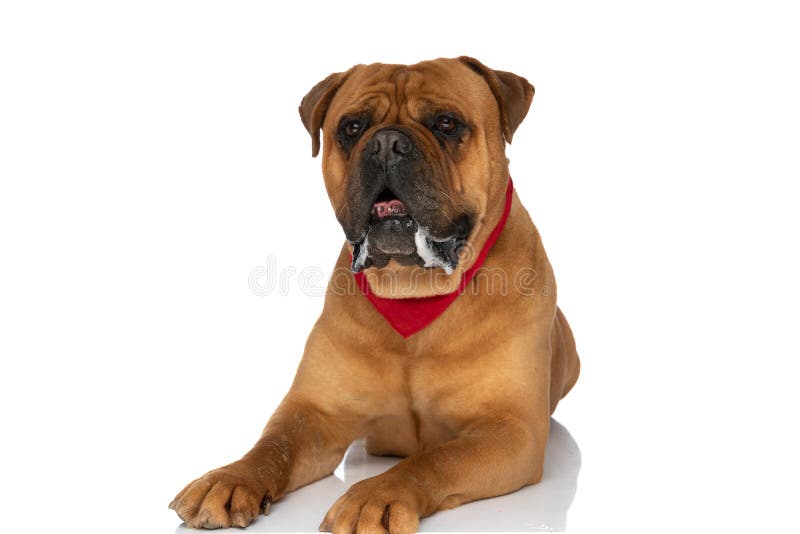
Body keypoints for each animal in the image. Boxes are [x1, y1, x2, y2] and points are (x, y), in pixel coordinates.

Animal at [170, 56, 580, 532]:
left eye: (446, 122)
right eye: (352, 127)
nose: (386, 142)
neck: (413, 293)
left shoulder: (509, 428)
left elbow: (435, 459)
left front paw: (376, 495)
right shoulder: (315, 412)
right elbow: (273, 445)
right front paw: (231, 478)